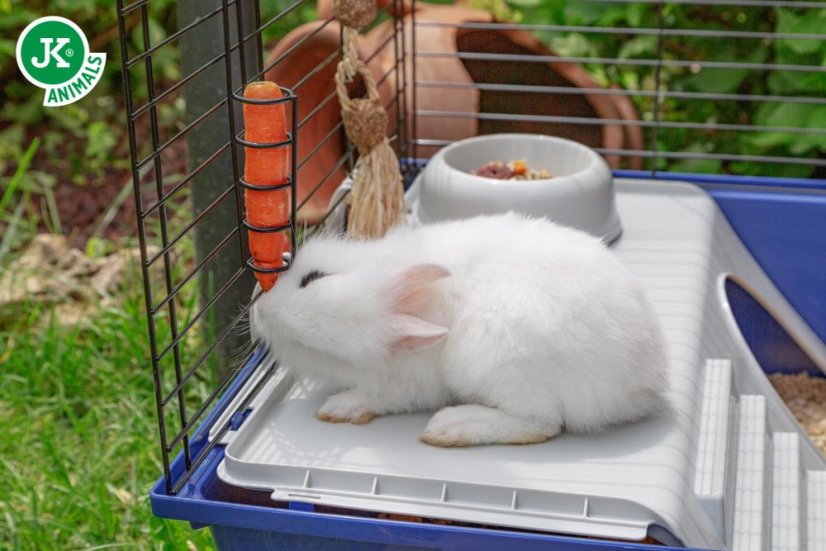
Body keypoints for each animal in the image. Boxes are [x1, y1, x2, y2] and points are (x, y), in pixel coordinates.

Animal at [250, 212, 668, 447]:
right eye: (314, 349)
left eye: (314, 279)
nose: (258, 312)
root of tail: (643, 384)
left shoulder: (410, 384)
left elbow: (377, 396)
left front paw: (339, 408)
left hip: (497, 365)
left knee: (542, 424)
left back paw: (451, 427)